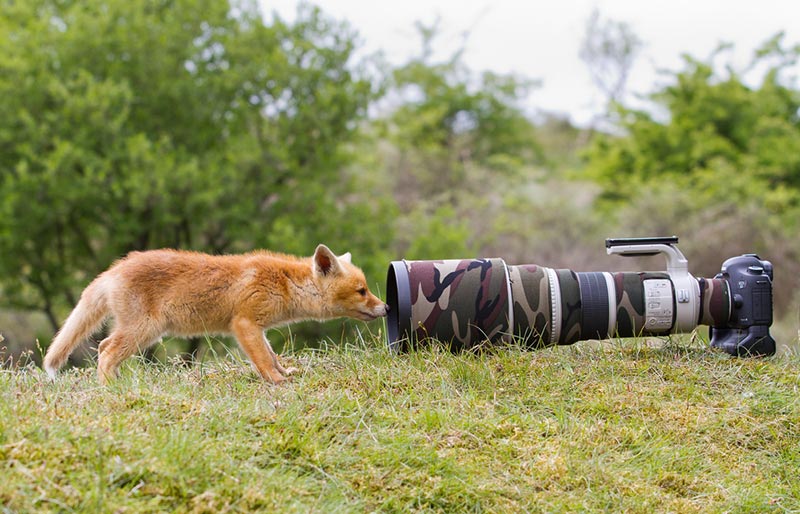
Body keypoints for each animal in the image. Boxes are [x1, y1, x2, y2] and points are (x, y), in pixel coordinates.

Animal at [43, 245, 388, 384]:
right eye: (362, 290)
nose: (385, 307)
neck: (284, 283)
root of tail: (114, 269)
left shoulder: (258, 329)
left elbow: (272, 355)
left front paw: (285, 372)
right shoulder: (244, 325)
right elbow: (263, 362)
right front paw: (277, 381)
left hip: (140, 331)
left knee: (103, 347)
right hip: (144, 330)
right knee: (105, 351)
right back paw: (110, 388)